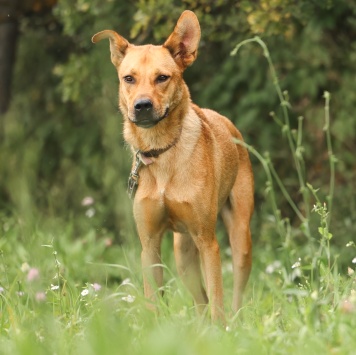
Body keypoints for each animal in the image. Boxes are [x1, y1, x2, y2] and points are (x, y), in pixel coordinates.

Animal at [92, 10, 253, 322]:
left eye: (162, 78)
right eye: (129, 78)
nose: (142, 106)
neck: (161, 154)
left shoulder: (208, 241)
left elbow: (218, 299)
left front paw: (221, 329)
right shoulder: (150, 244)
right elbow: (154, 299)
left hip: (240, 238)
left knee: (234, 296)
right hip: (183, 256)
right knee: (200, 300)